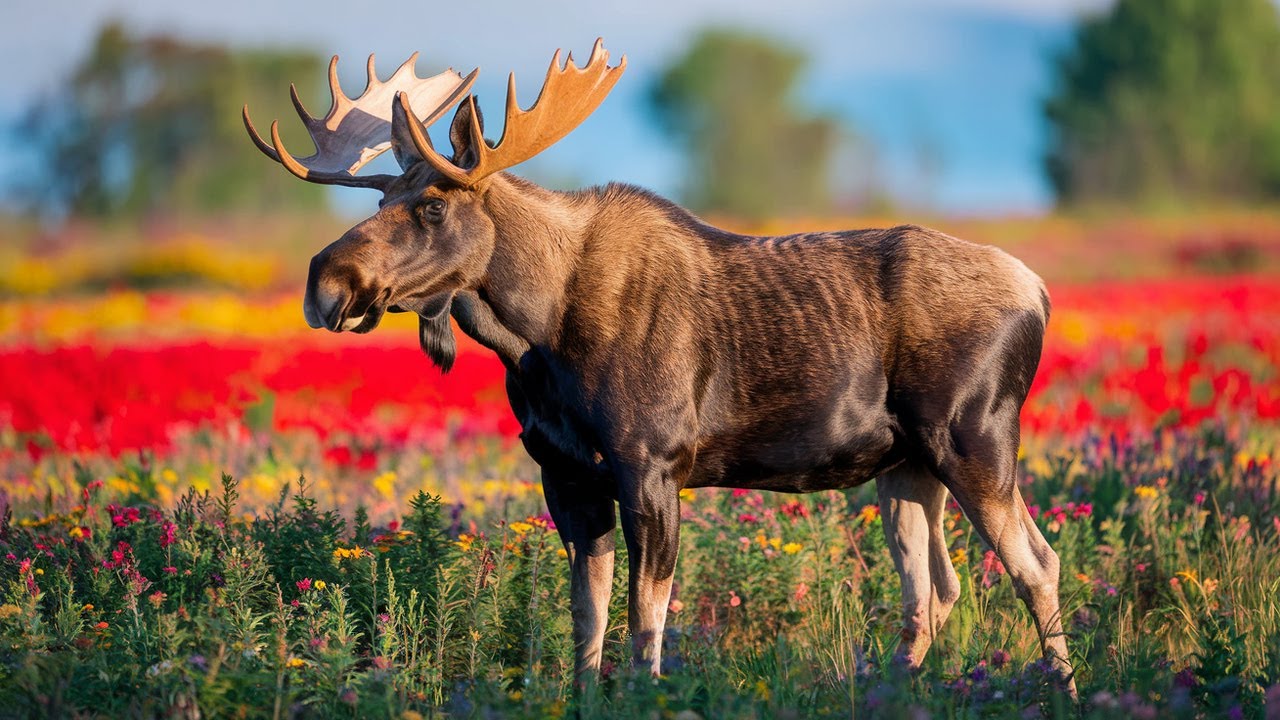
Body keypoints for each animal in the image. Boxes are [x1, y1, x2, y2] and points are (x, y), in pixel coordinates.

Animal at [242, 39, 1074, 693]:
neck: (538, 337)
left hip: (974, 440)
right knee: (933, 589)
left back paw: (1063, 690)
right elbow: (587, 619)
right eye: (378, 199)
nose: (325, 283)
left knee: (1037, 563)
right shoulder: (566, 474)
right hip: (905, 468)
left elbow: (646, 621)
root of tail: (1040, 291)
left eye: (433, 208)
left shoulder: (653, 464)